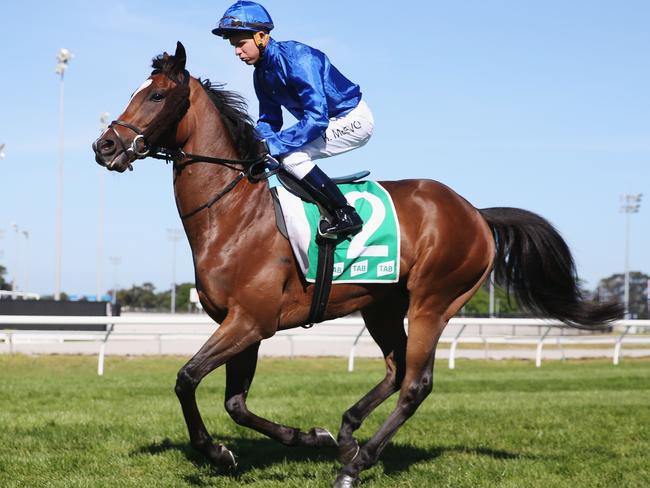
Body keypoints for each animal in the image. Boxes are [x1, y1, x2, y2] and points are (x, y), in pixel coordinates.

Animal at [90, 43, 616, 488]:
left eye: (157, 95)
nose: (105, 147)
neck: (233, 212)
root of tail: (476, 214)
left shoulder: (252, 321)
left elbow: (187, 379)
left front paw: (217, 452)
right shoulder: (241, 323)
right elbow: (235, 403)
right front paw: (311, 437)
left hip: (434, 301)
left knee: (416, 384)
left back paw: (355, 465)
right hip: (382, 304)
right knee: (396, 369)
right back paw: (346, 436)